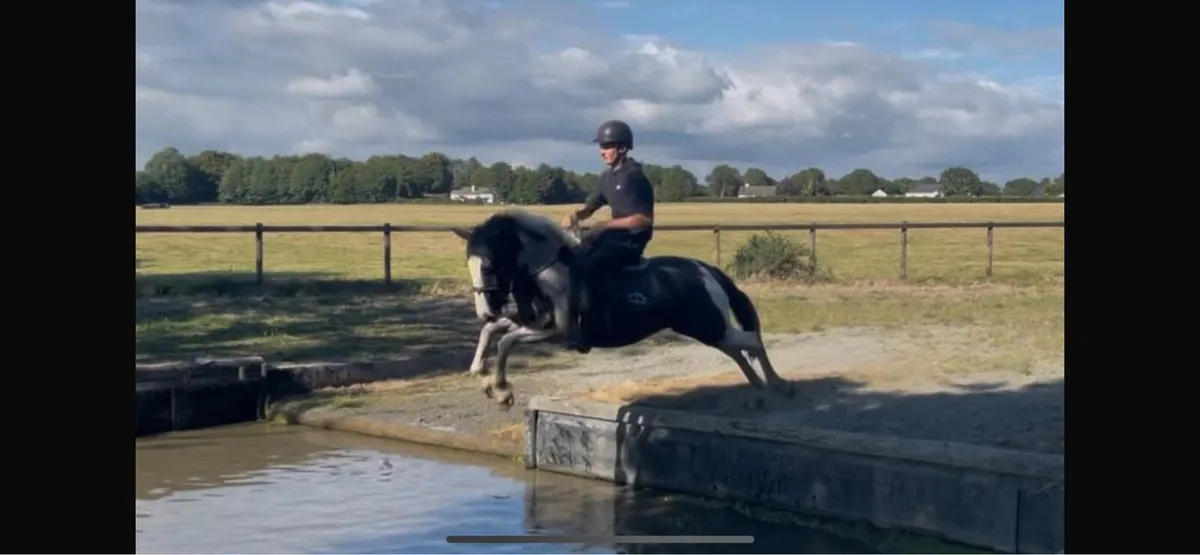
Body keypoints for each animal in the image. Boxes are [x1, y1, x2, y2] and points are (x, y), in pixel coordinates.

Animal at [450, 209, 795, 410]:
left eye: (489, 265)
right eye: (468, 264)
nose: (484, 310)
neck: (545, 270)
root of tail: (706, 270)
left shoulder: (552, 330)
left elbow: (505, 341)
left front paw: (501, 390)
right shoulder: (530, 322)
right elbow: (492, 332)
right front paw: (484, 378)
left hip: (708, 326)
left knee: (751, 341)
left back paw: (776, 385)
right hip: (708, 329)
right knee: (738, 348)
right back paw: (757, 388)